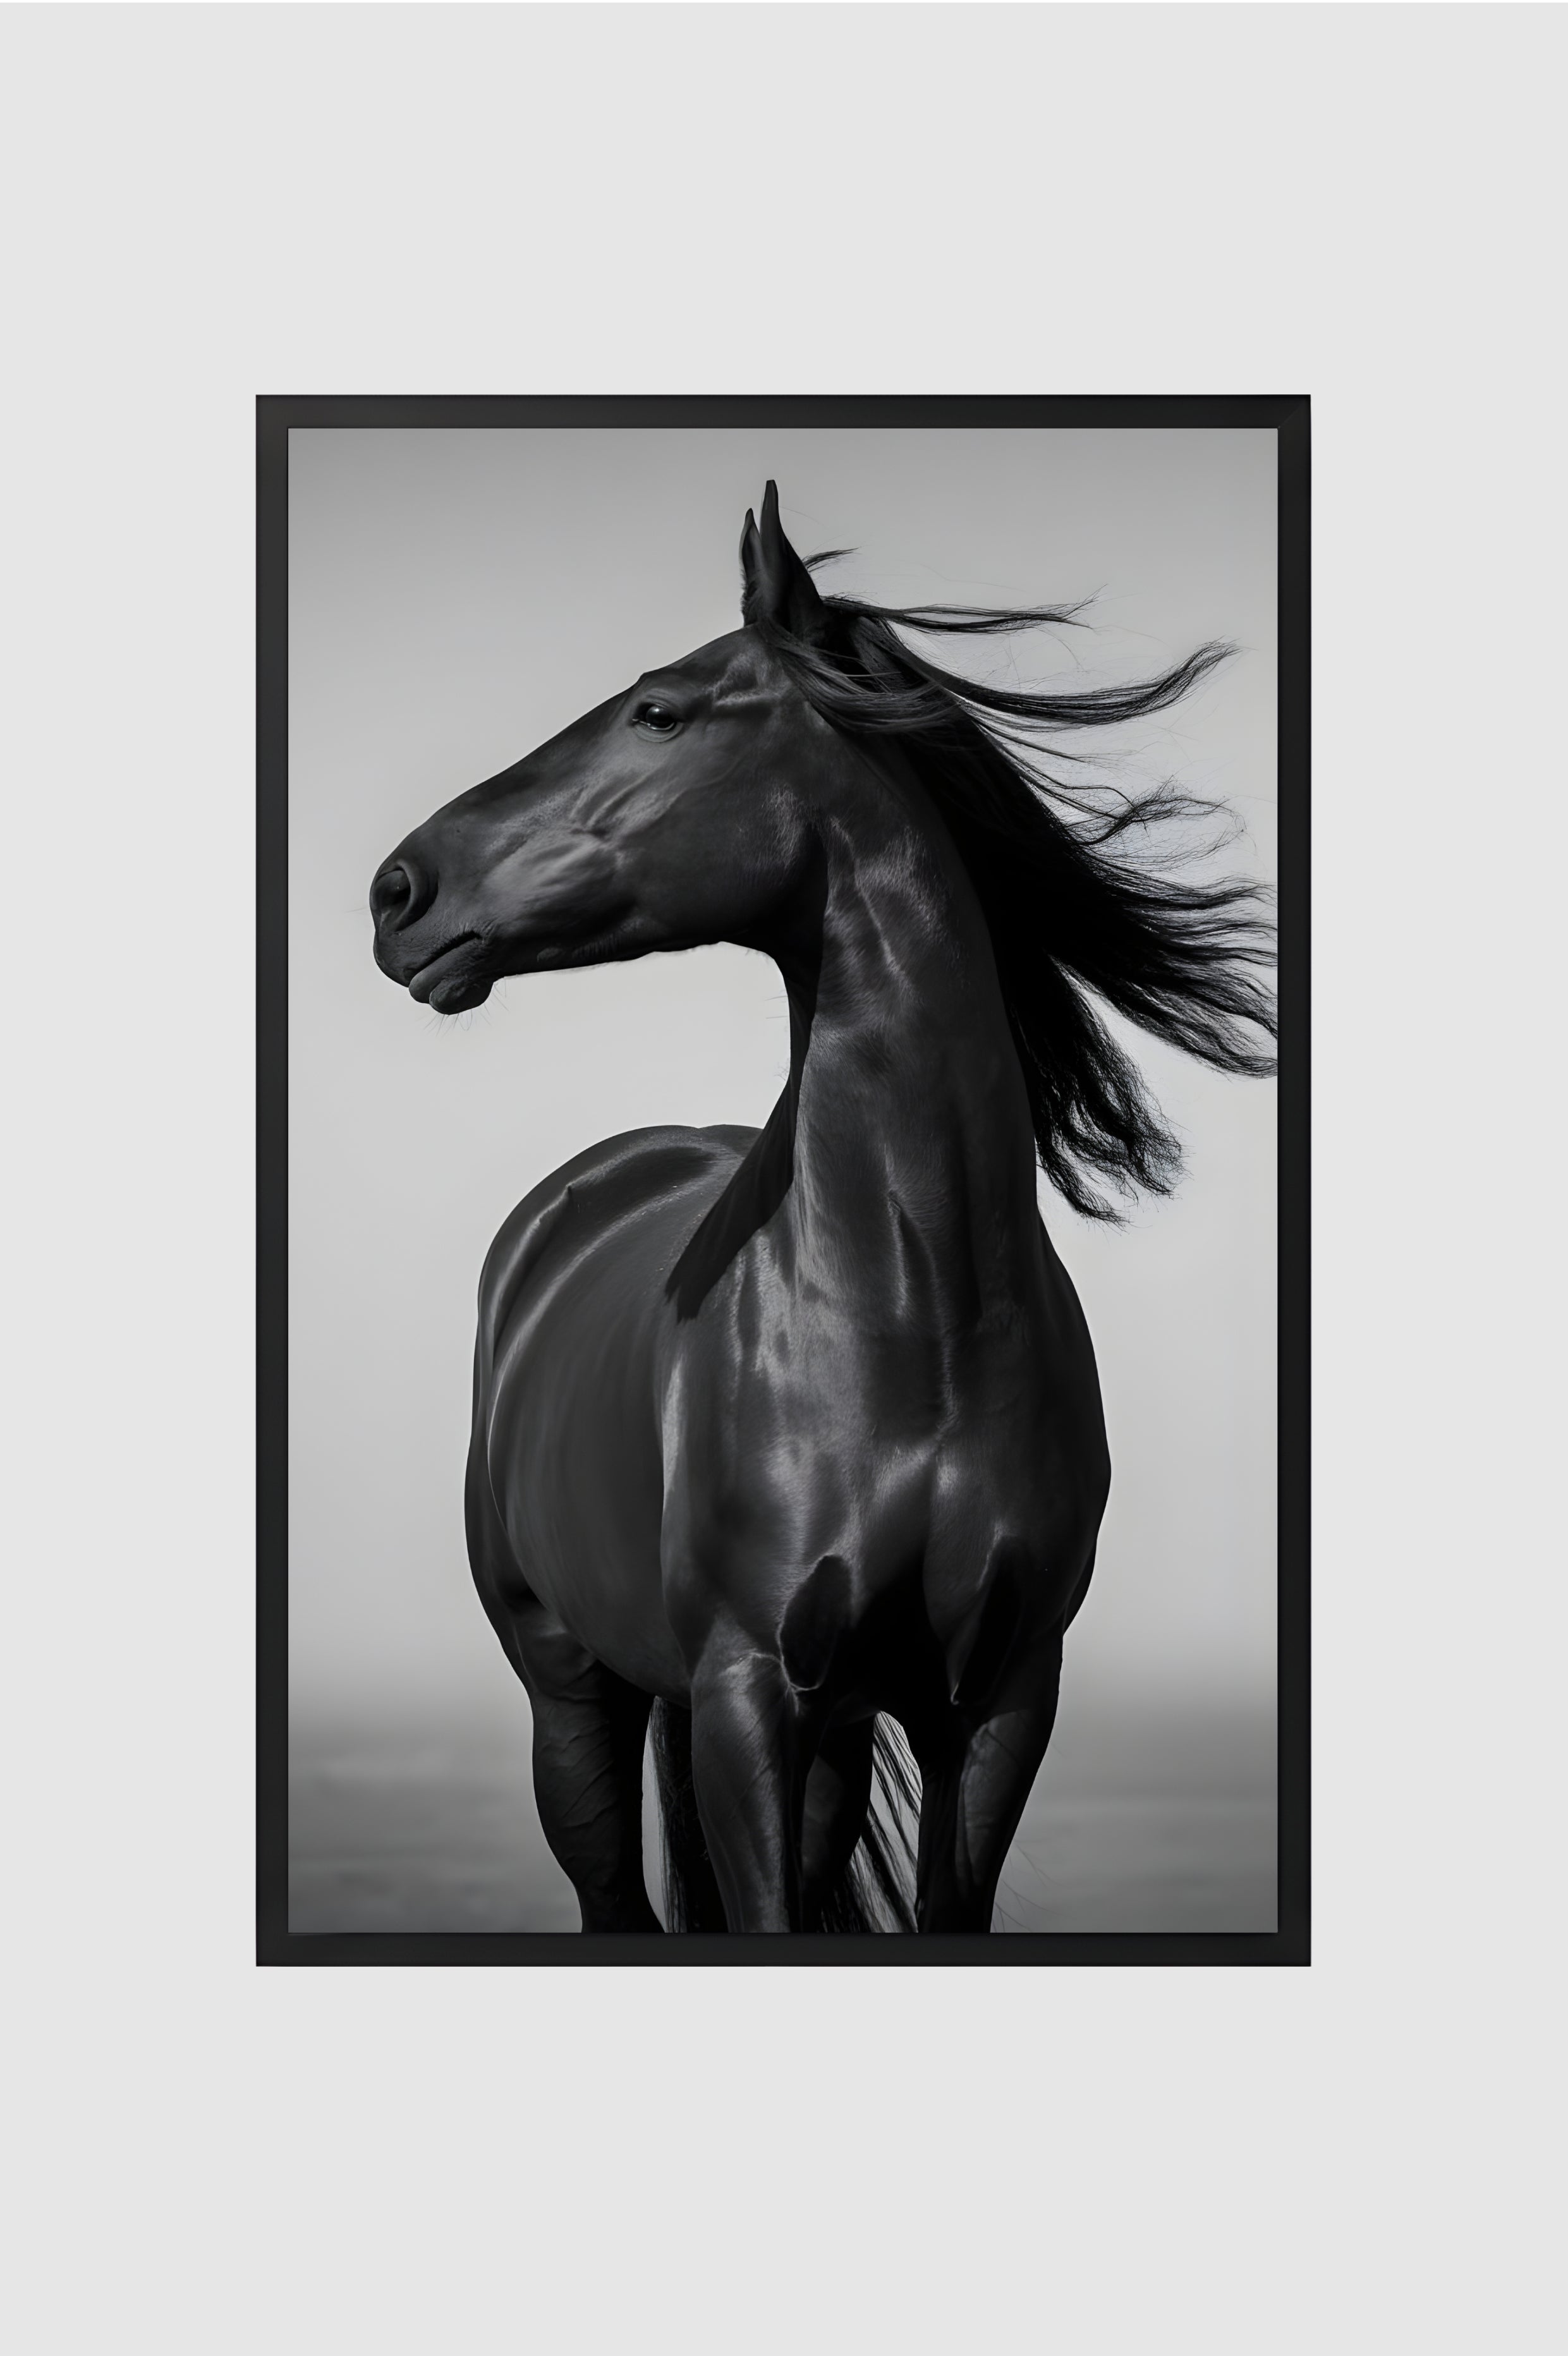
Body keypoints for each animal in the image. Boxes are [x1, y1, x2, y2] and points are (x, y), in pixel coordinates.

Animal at [369, 484, 1275, 1934]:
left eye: (662, 710)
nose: (399, 890)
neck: (913, 1314)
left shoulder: (998, 1702)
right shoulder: (748, 1691)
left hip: (832, 1732)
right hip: (570, 1687)